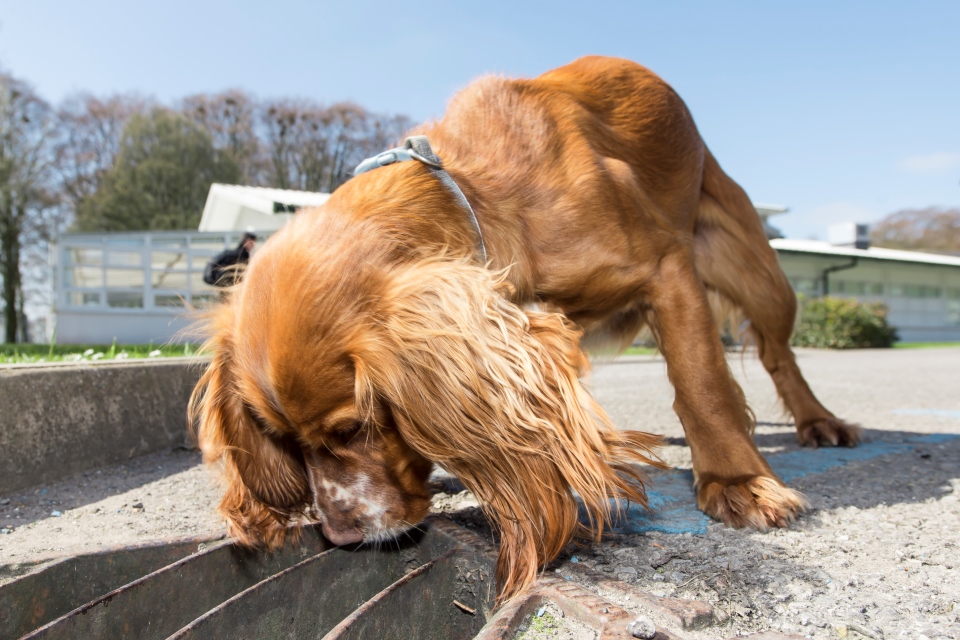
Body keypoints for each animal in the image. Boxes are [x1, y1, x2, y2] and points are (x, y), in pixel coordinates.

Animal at [191, 57, 860, 604]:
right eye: (282, 439)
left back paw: (820, 422)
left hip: (758, 272)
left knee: (779, 355)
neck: (473, 190)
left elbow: (702, 382)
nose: (339, 535)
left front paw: (738, 481)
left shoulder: (668, 269)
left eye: (354, 427)